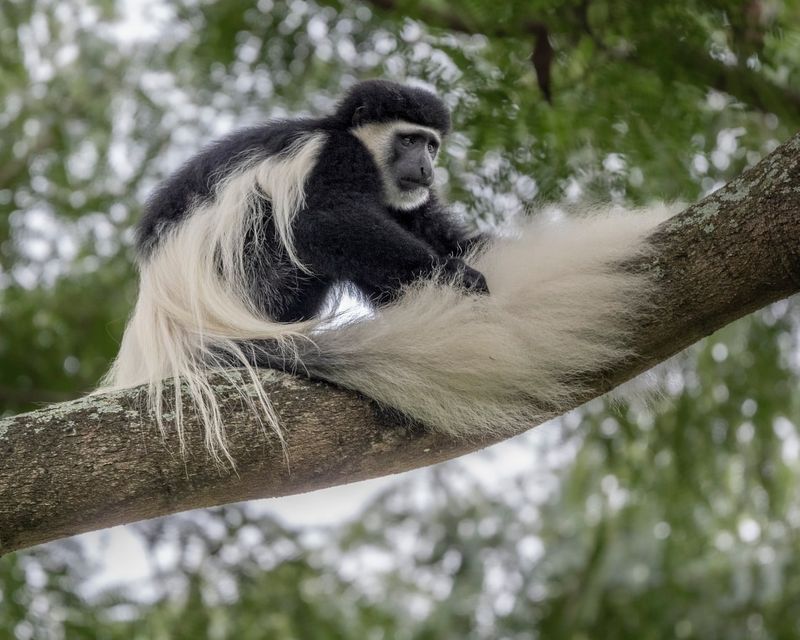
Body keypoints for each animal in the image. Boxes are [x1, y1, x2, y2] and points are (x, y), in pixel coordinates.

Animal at [104, 80, 668, 462]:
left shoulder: (409, 199)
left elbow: (442, 230)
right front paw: (459, 276)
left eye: (432, 144)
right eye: (410, 140)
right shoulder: (338, 158)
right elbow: (319, 222)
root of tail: (178, 332)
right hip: (257, 277)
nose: (427, 166)